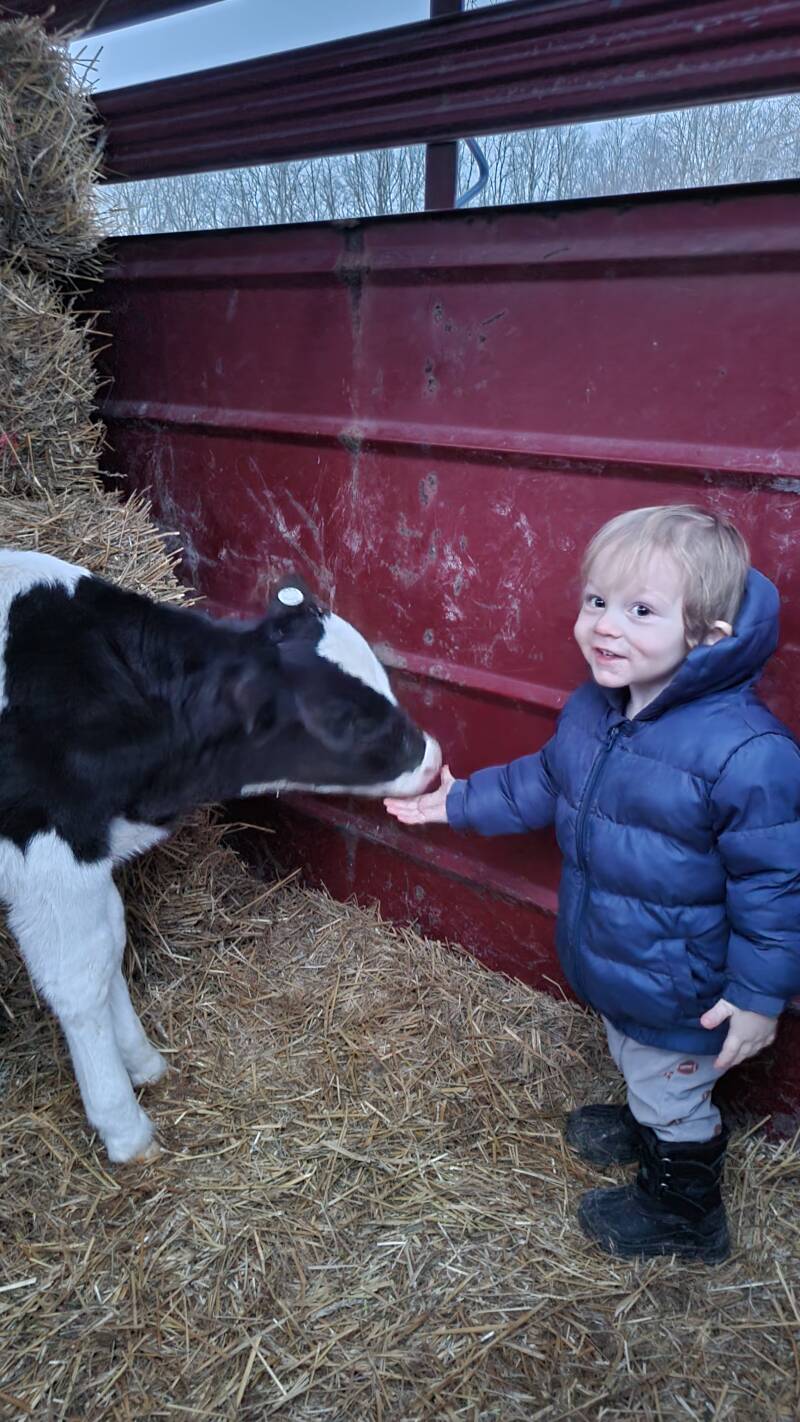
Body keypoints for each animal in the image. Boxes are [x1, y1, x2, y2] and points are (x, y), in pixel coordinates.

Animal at [0, 549, 441, 1162]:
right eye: (347, 720)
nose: (435, 759)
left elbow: (111, 945)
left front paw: (142, 1061)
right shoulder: (47, 855)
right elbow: (78, 980)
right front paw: (123, 1126)